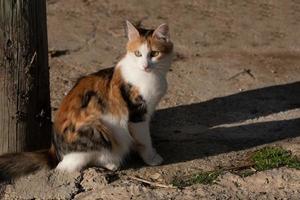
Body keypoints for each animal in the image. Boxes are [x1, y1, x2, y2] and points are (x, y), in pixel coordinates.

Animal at [0, 20, 173, 181]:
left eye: (154, 53)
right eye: (138, 53)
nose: (145, 65)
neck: (150, 76)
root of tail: (53, 151)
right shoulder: (137, 115)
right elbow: (144, 140)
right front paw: (152, 158)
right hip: (98, 128)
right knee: (75, 163)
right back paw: (112, 162)